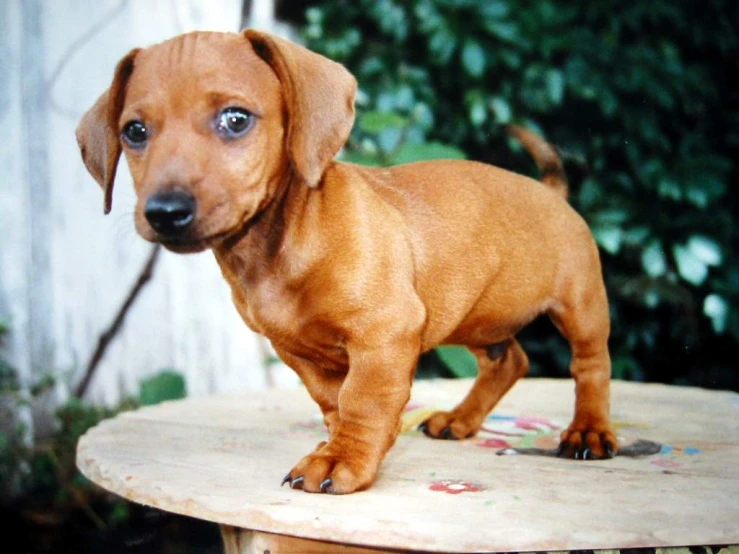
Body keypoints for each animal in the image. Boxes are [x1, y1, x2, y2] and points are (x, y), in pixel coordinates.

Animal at [75, 30, 620, 492]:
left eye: (235, 119)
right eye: (135, 131)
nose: (165, 213)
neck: (285, 241)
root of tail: (551, 192)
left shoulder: (385, 334)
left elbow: (361, 401)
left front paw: (344, 459)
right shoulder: (298, 352)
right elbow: (334, 403)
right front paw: (337, 446)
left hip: (581, 305)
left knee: (590, 366)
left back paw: (589, 431)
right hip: (476, 316)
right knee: (510, 362)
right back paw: (461, 419)